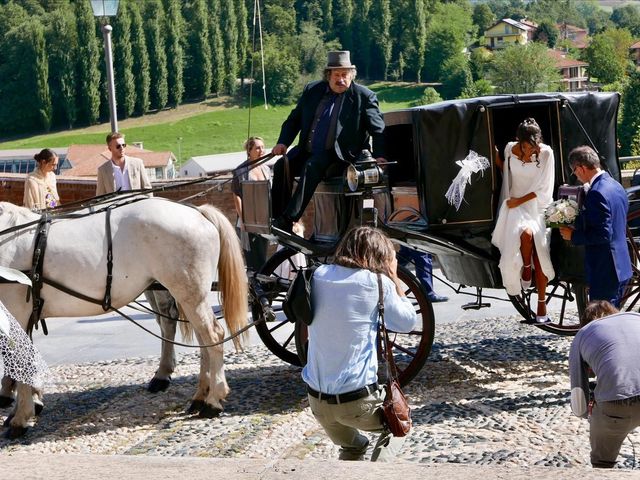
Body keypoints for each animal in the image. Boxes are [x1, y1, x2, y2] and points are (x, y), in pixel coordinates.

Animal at [0, 198, 248, 438]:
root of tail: (197, 211)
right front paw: (24, 406)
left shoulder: (17, 312)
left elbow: (19, 362)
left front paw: (21, 417)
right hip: (189, 295)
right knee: (203, 339)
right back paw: (200, 396)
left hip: (189, 293)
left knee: (212, 335)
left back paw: (213, 400)